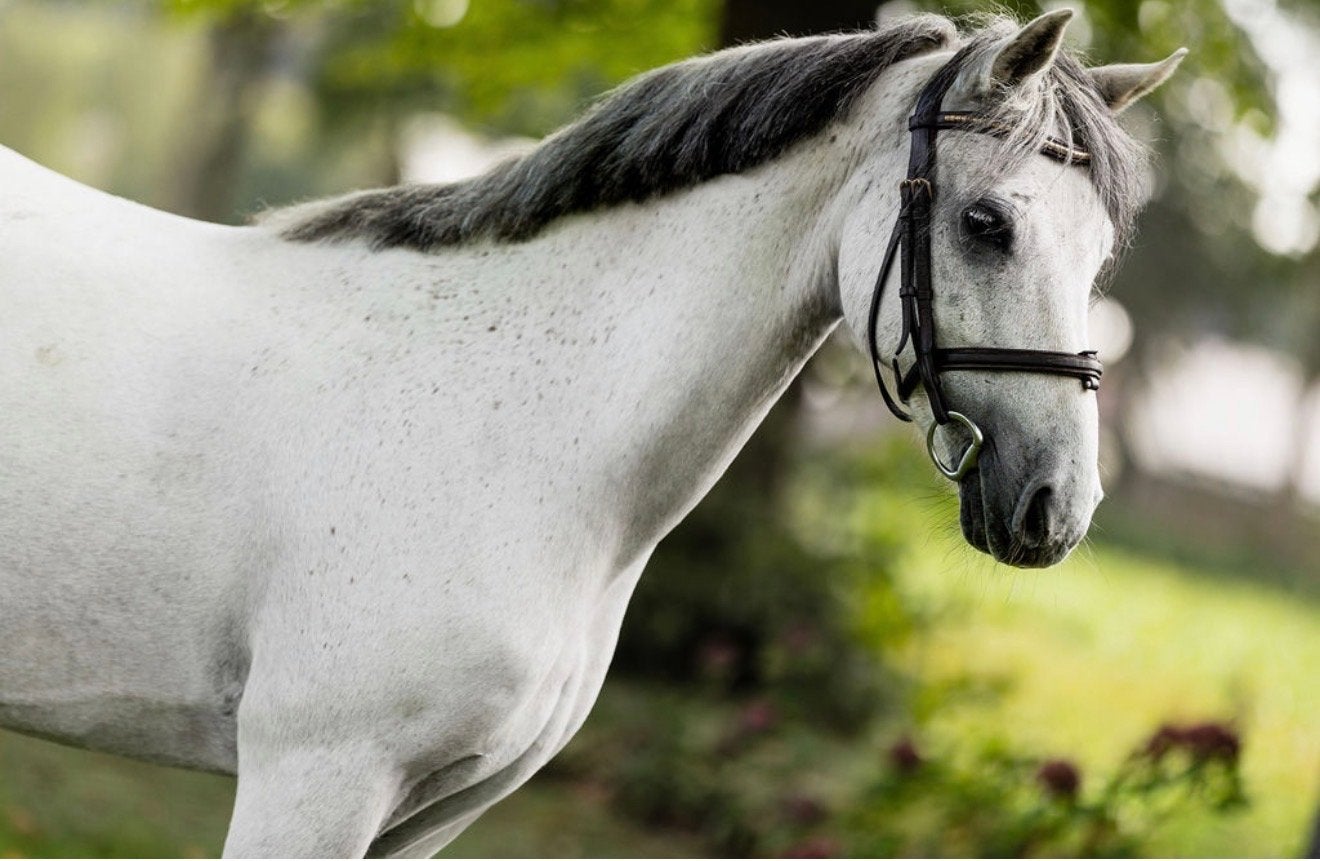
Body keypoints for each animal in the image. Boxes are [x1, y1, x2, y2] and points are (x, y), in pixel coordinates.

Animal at [0, 11, 1182, 857]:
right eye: (987, 225)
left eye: (1101, 254)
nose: (1057, 507)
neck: (514, 436)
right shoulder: (315, 778)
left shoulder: (430, 813)